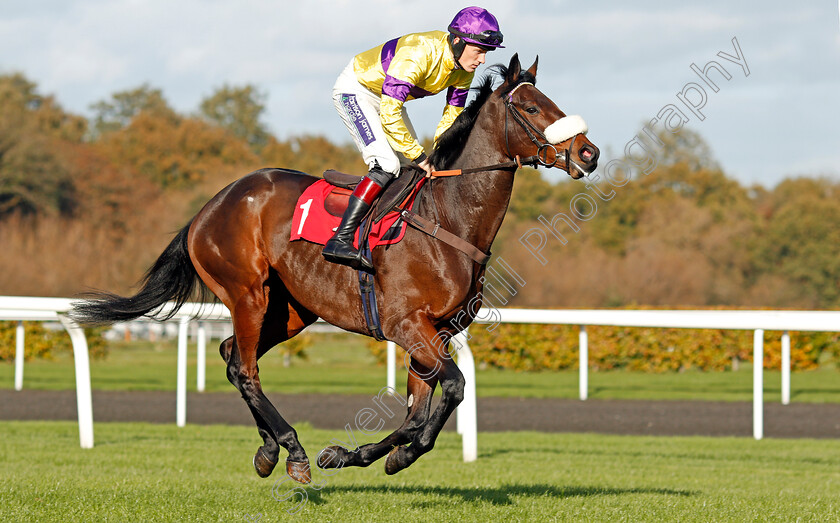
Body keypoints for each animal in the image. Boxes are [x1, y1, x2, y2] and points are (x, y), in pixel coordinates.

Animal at [72, 53, 596, 484]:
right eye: (531, 108)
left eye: (551, 101)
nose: (588, 153)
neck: (446, 219)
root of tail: (209, 207)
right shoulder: (407, 325)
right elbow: (453, 388)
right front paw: (376, 454)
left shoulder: (438, 332)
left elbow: (415, 414)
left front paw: (365, 455)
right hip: (248, 293)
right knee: (245, 368)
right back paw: (292, 450)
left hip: (291, 310)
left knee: (229, 355)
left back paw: (268, 451)